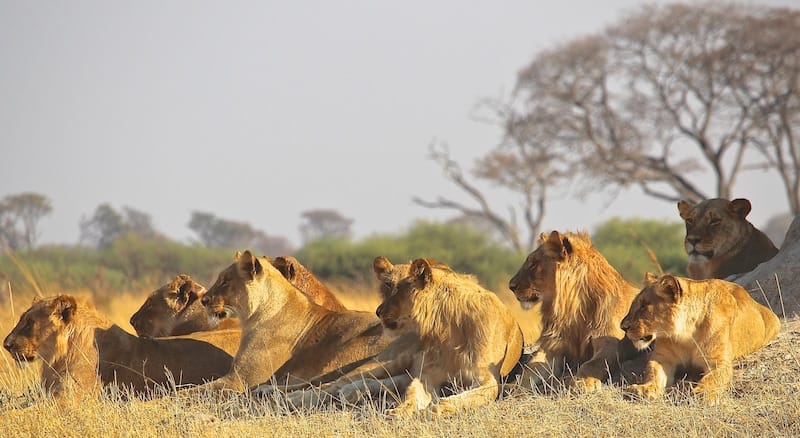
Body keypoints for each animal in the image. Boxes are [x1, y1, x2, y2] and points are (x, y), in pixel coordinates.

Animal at [376, 258, 524, 416]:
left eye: (398, 289)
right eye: (388, 285)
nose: (378, 311)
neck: (450, 327)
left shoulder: (487, 378)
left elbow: (465, 398)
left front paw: (436, 409)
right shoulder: (429, 374)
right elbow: (413, 394)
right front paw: (398, 411)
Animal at [512, 229, 644, 390]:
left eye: (533, 265)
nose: (511, 286)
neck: (572, 309)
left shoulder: (611, 345)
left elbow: (592, 364)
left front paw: (582, 382)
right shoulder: (552, 346)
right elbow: (530, 369)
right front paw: (514, 387)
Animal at [620, 274, 780, 400]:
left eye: (644, 306)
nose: (623, 327)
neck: (686, 334)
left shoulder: (719, 362)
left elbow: (713, 378)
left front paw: (702, 393)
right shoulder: (662, 357)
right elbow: (653, 372)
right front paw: (644, 389)